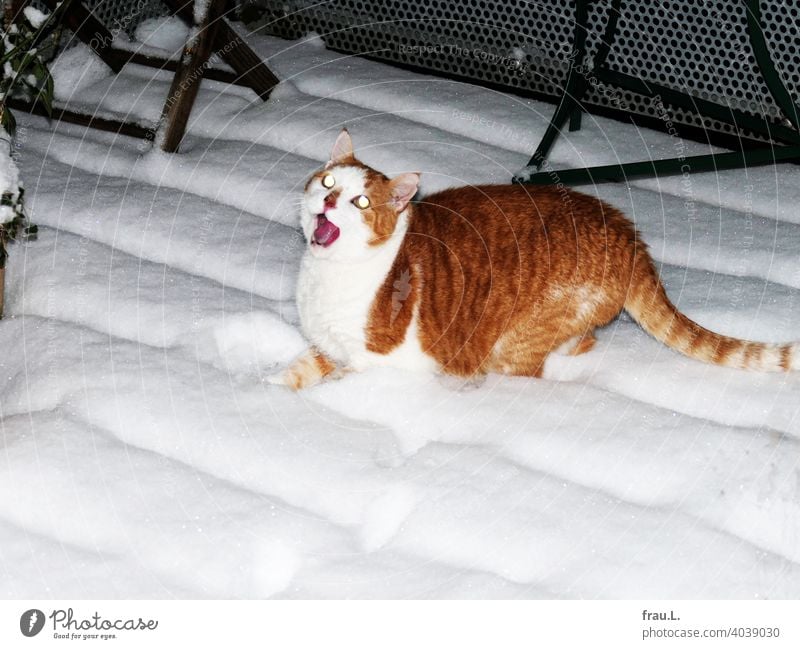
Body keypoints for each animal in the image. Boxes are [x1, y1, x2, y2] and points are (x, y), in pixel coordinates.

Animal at [268, 128, 792, 388]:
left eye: (360, 202)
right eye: (328, 182)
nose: (330, 201)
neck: (328, 275)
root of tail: (627, 233)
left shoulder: (382, 362)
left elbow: (341, 381)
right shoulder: (324, 347)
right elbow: (296, 372)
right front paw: (268, 393)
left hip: (518, 337)